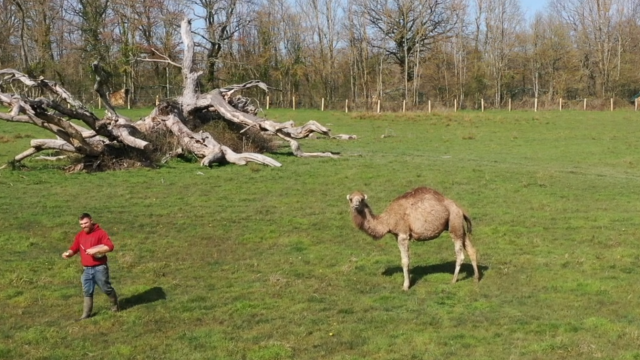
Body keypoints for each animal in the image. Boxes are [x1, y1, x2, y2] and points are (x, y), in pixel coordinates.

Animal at [344, 187, 480, 292]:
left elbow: (404, 261)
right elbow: (408, 259)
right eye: (351, 199)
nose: (355, 205)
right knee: (471, 249)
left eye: (361, 199)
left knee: (460, 254)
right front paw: (409, 281)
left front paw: (405, 286)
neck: (387, 220)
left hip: (454, 223)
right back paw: (476, 278)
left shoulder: (403, 234)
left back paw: (453, 280)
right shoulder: (398, 236)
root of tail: (460, 209)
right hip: (459, 226)